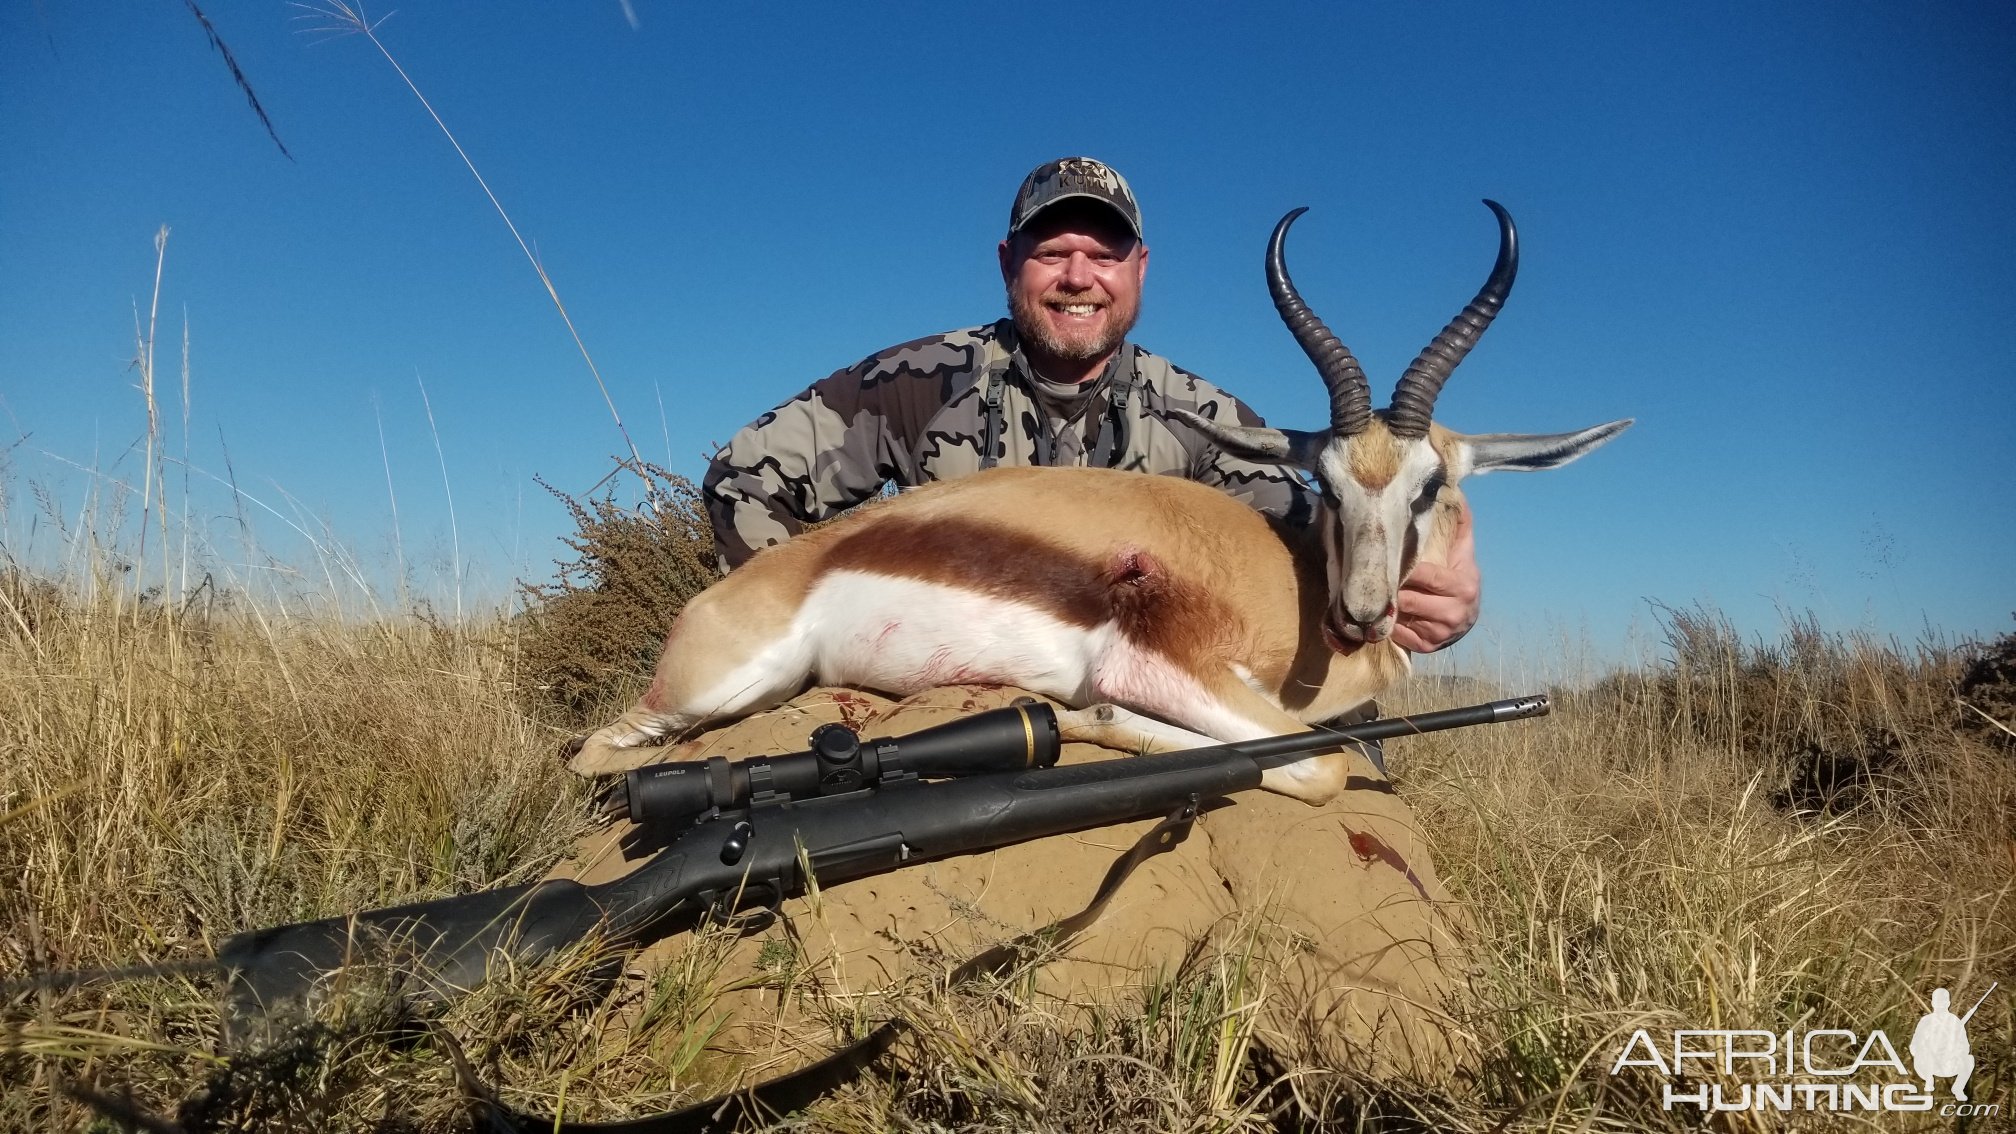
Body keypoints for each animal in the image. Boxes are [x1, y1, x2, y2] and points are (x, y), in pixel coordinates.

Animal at [564, 202, 1620, 803]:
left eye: (1429, 487)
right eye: (1323, 482)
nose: (1364, 614)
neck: (1295, 590)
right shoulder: (1169, 665)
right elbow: (1318, 767)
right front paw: (1097, 722)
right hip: (714, 692)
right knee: (595, 754)